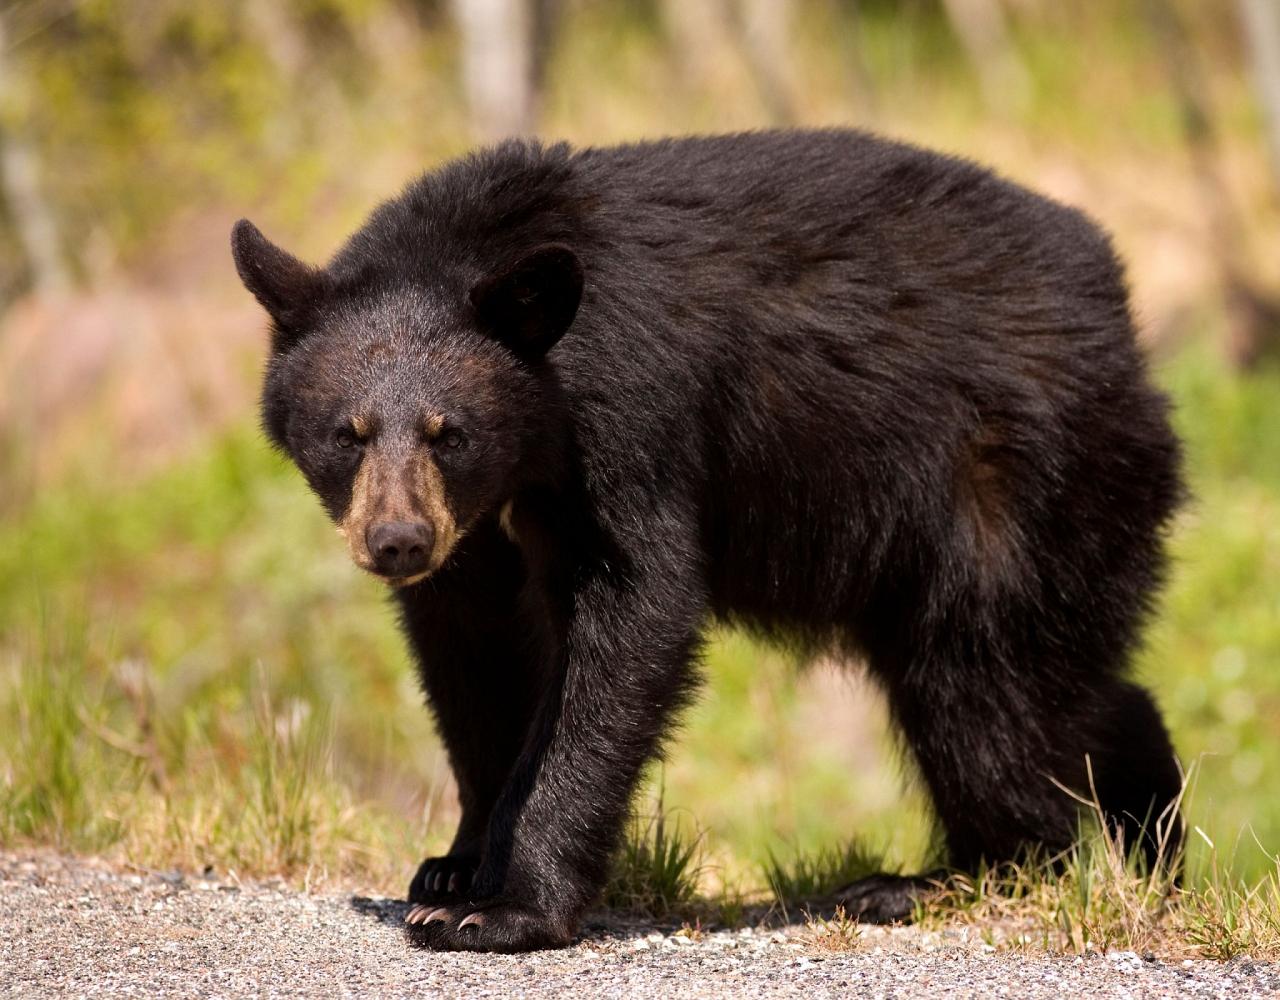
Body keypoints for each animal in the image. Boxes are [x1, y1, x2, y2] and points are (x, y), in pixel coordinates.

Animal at [230, 128, 1177, 947]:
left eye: (448, 432)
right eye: (347, 433)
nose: (398, 541)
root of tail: (1127, 329)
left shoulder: (627, 416)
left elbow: (632, 613)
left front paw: (504, 908)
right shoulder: (475, 534)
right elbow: (473, 652)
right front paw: (454, 870)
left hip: (1012, 486)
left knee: (984, 689)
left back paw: (935, 879)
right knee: (1061, 686)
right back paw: (1150, 829)